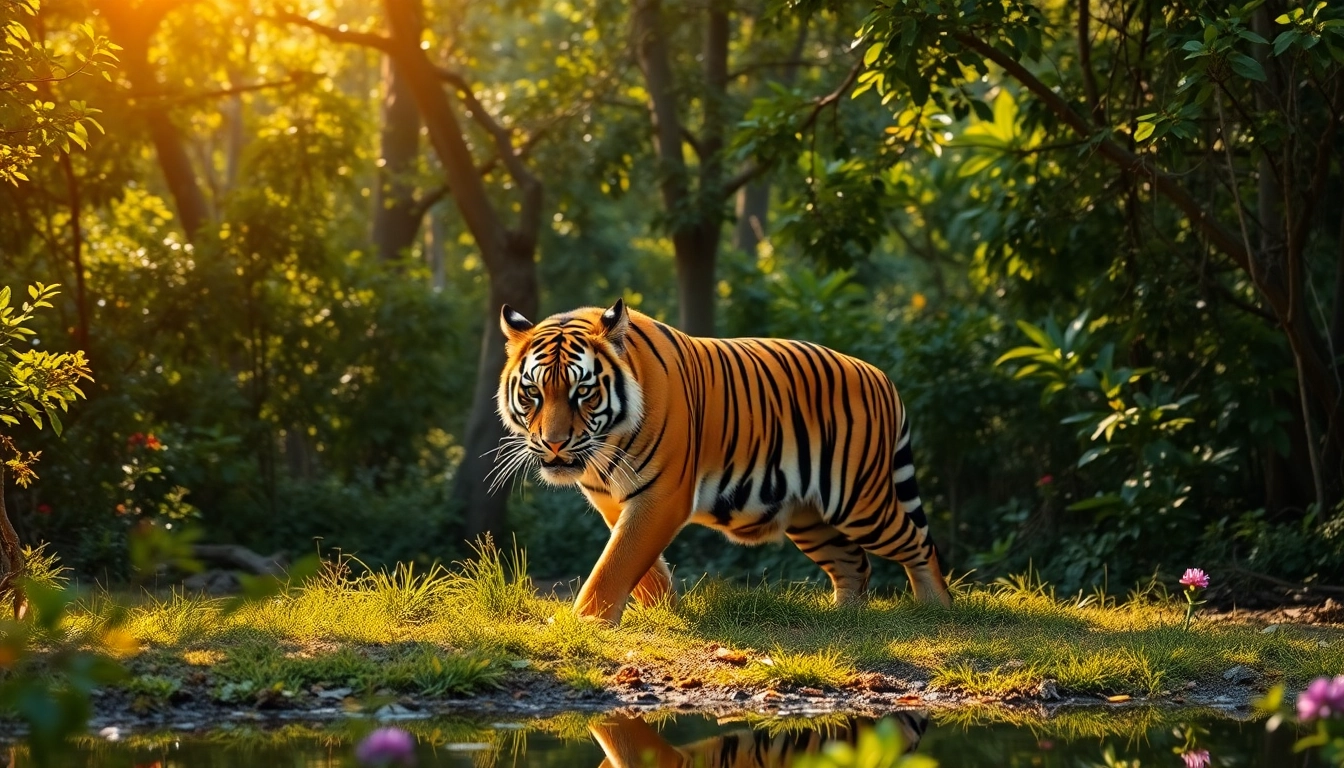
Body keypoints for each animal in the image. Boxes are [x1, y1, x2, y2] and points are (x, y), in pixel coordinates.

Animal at [493, 299, 951, 624]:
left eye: (583, 392)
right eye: (533, 392)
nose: (554, 444)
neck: (605, 447)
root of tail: (883, 378)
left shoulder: (663, 495)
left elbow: (616, 562)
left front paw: (586, 621)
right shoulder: (612, 500)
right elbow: (639, 563)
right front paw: (666, 611)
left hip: (858, 502)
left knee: (918, 542)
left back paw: (937, 608)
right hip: (811, 517)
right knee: (854, 563)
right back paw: (844, 619)